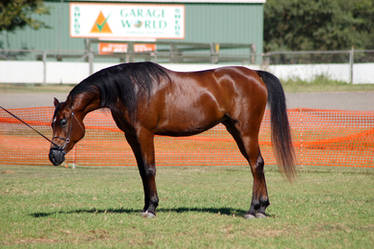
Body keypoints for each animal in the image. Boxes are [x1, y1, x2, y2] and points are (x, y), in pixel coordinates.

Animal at [49, 61, 296, 218]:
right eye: (52, 122)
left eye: (63, 121)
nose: (53, 156)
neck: (131, 89)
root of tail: (255, 74)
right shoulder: (132, 137)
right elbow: (142, 171)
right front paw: (146, 205)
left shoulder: (144, 133)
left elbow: (150, 169)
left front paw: (151, 209)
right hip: (235, 130)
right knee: (256, 164)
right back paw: (261, 207)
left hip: (246, 131)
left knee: (256, 164)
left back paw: (254, 210)